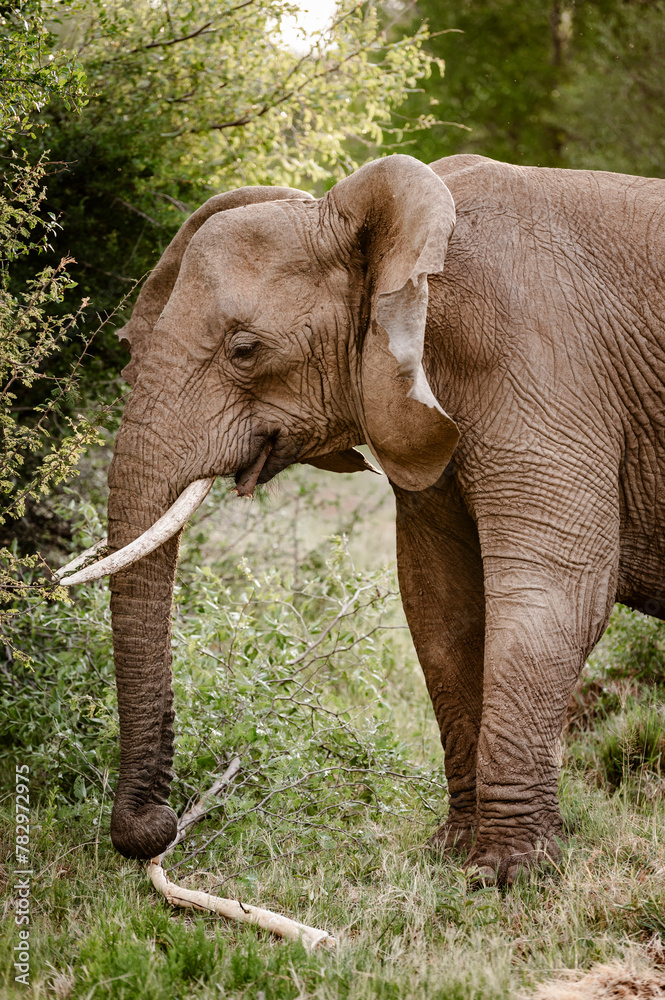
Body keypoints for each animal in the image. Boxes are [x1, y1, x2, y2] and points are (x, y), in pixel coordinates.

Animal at [61, 153, 665, 884]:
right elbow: (439, 606)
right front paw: (451, 854)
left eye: (244, 349)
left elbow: (555, 594)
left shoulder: (547, 365)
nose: (156, 828)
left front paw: (506, 875)